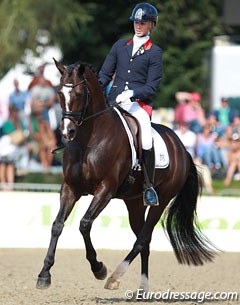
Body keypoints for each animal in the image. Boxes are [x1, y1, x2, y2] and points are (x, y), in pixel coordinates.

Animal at [36, 58, 216, 292]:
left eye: (79, 93)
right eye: (59, 93)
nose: (67, 132)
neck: (89, 138)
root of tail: (182, 148)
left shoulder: (105, 189)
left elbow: (84, 224)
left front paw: (98, 268)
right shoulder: (70, 188)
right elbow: (57, 225)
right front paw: (44, 275)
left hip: (161, 201)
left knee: (142, 239)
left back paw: (114, 277)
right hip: (135, 203)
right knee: (144, 241)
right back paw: (142, 289)